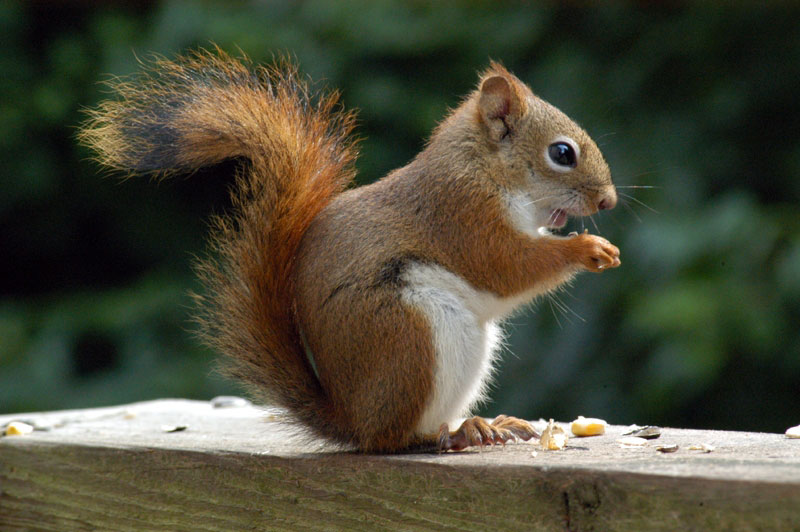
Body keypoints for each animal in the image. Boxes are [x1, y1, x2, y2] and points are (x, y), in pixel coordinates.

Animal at [79, 47, 620, 450]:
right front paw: (587, 248)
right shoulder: (461, 217)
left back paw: (487, 424)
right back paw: (454, 435)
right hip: (412, 335)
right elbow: (508, 266)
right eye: (562, 153)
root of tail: (350, 419)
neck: (485, 169)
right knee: (395, 438)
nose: (609, 201)